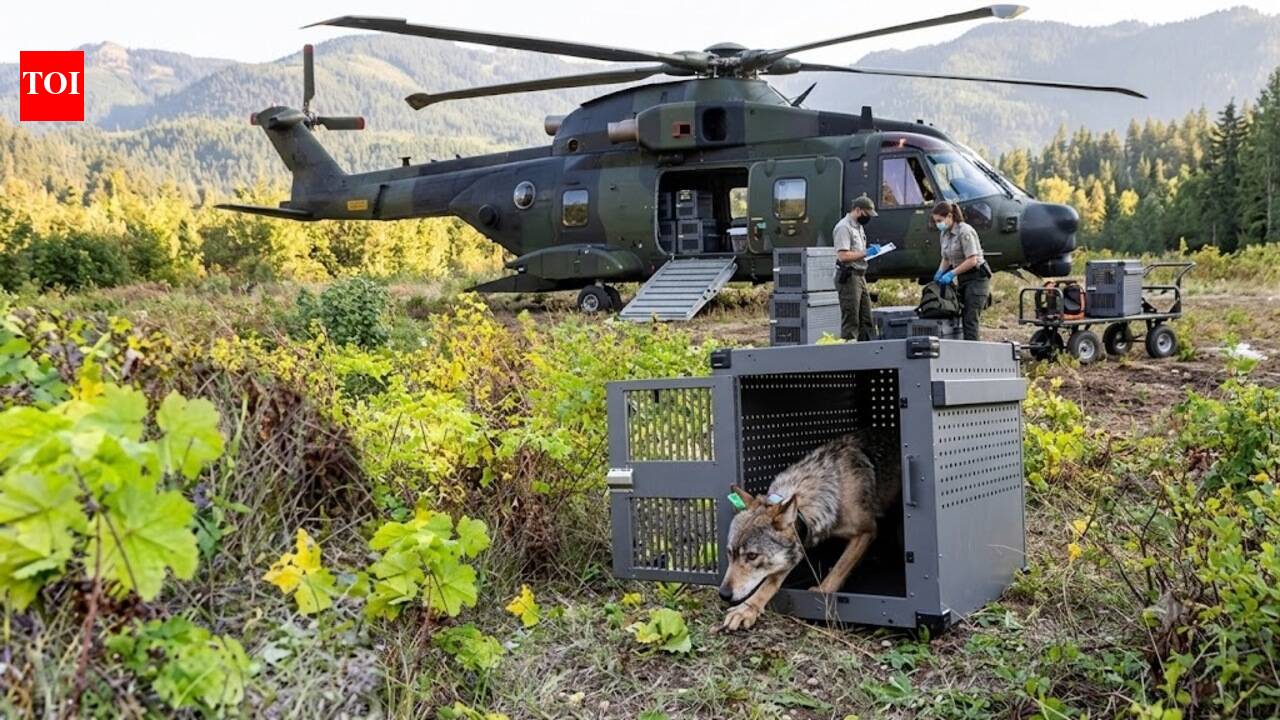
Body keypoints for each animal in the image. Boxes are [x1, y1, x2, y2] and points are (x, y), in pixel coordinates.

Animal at [717, 429, 901, 631]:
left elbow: (839, 568)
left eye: (751, 556)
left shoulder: (866, 532)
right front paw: (746, 609)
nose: (723, 594)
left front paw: (822, 591)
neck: (834, 491)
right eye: (729, 553)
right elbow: (769, 583)